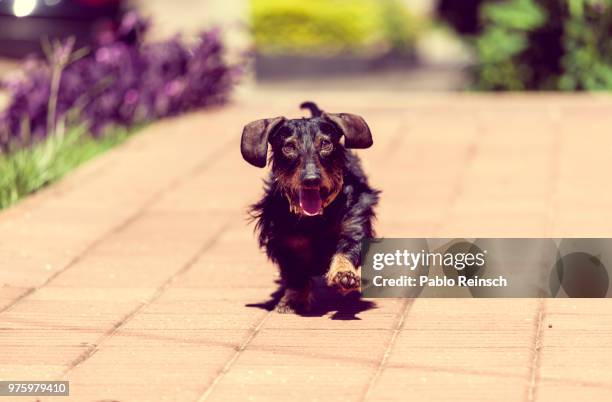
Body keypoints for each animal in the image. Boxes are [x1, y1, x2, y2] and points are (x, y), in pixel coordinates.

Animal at [240, 101, 378, 314]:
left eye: (326, 144)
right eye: (289, 146)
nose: (311, 180)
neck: (315, 219)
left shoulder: (354, 224)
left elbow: (346, 250)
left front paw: (344, 275)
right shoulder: (284, 241)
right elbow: (295, 273)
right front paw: (294, 300)